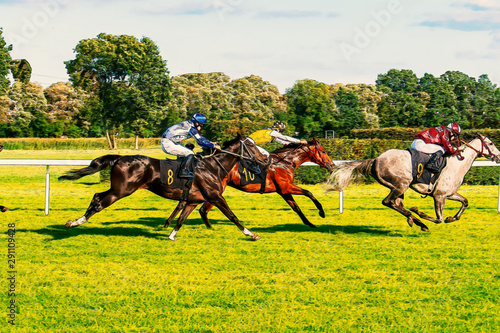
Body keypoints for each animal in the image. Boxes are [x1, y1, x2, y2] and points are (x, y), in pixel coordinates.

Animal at [58, 134, 268, 240]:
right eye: (252, 145)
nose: (265, 158)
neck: (212, 166)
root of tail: (119, 158)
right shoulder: (215, 196)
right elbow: (232, 216)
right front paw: (251, 234)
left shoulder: (193, 200)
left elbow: (181, 219)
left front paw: (171, 236)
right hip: (121, 191)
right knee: (99, 203)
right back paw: (76, 222)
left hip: (118, 189)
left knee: (96, 196)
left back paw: (74, 221)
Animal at [165, 137, 336, 228]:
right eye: (324, 151)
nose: (332, 165)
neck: (285, 162)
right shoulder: (286, 186)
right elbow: (309, 193)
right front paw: (321, 213)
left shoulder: (283, 190)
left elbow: (296, 208)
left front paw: (309, 224)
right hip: (215, 189)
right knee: (201, 209)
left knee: (194, 206)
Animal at [326, 133, 500, 231]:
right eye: (491, 143)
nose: (498, 156)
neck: (457, 163)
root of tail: (376, 160)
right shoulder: (439, 196)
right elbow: (439, 219)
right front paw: (419, 212)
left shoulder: (449, 193)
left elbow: (465, 202)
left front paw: (452, 218)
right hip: (402, 184)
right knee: (388, 202)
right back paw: (416, 219)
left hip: (398, 187)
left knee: (396, 204)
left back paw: (415, 221)